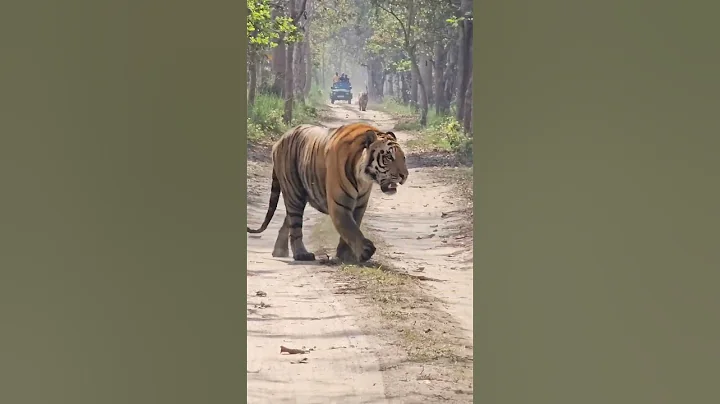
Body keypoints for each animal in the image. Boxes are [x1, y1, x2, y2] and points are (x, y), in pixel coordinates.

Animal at [247, 122, 408, 263]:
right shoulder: (339, 204)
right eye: (389, 157)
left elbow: (352, 227)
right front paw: (364, 251)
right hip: (294, 192)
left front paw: (345, 255)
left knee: (288, 221)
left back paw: (279, 251)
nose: (404, 175)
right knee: (295, 226)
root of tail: (279, 140)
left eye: (403, 157)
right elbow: (349, 228)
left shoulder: (359, 205)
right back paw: (301, 254)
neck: (363, 178)